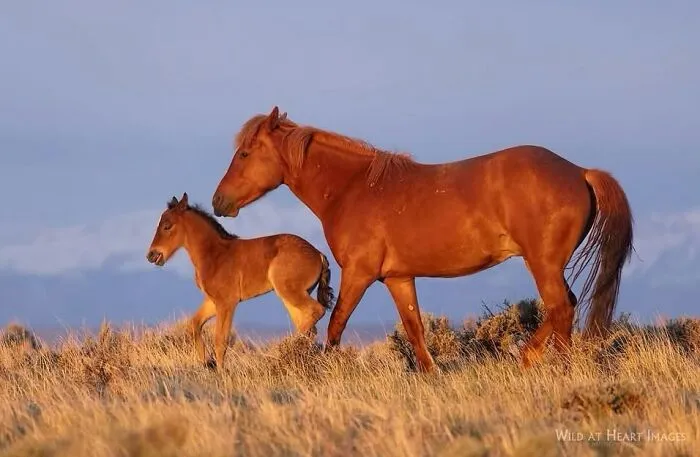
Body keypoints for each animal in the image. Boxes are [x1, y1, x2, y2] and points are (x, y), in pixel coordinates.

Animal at [146, 192, 335, 369]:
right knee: (308, 324)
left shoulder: (227, 303)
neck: (214, 254)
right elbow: (194, 325)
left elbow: (220, 340)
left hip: (290, 292)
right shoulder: (212, 301)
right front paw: (206, 363)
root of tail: (318, 254)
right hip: (291, 296)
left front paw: (220, 372)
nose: (152, 255)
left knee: (316, 312)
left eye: (167, 226)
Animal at [211, 107, 634, 372]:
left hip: (542, 263)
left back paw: (555, 369)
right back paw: (526, 360)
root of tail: (579, 172)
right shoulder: (398, 278)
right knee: (565, 306)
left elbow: (335, 325)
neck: (353, 188)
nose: (219, 202)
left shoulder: (359, 274)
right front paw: (431, 374)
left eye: (245, 153)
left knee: (561, 308)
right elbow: (415, 330)